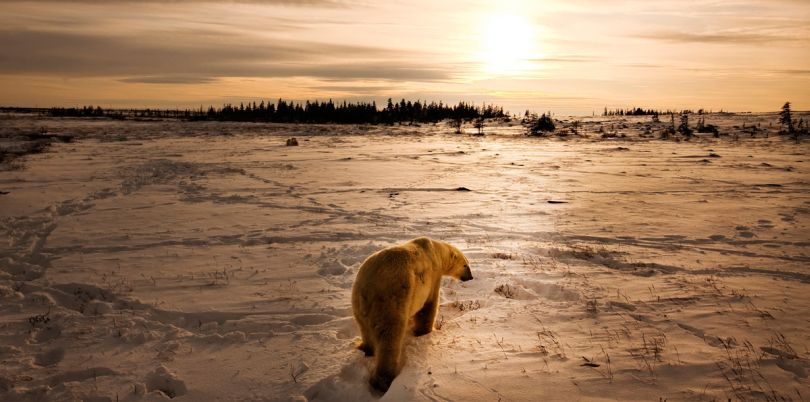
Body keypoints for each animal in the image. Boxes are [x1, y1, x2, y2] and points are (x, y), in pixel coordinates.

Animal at [348, 237, 474, 394]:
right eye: (465, 265)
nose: (471, 277)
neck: (436, 251)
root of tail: (367, 288)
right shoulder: (433, 276)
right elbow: (428, 307)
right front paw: (425, 332)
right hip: (391, 298)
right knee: (390, 336)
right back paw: (383, 381)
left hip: (358, 304)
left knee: (365, 329)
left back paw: (365, 349)